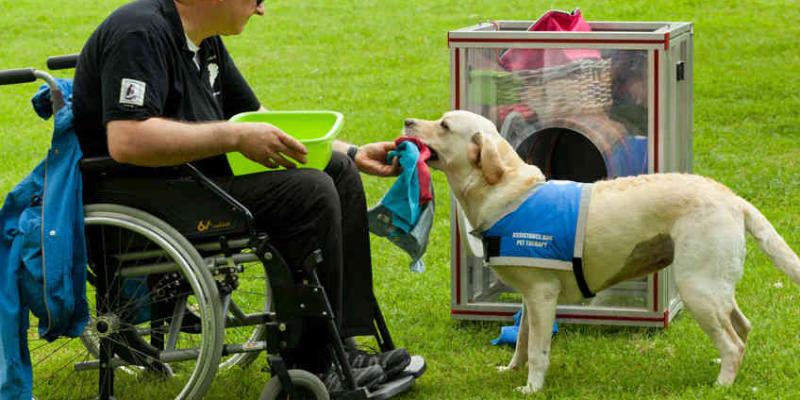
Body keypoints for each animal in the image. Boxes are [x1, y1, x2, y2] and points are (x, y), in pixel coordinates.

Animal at [404, 109, 800, 394]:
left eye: (444, 125)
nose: (407, 122)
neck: (505, 190)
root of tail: (733, 198)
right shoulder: (530, 297)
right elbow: (523, 341)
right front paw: (511, 370)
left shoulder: (543, 294)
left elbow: (538, 350)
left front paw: (531, 388)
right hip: (714, 286)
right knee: (742, 327)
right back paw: (726, 372)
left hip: (696, 287)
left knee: (733, 343)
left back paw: (721, 385)